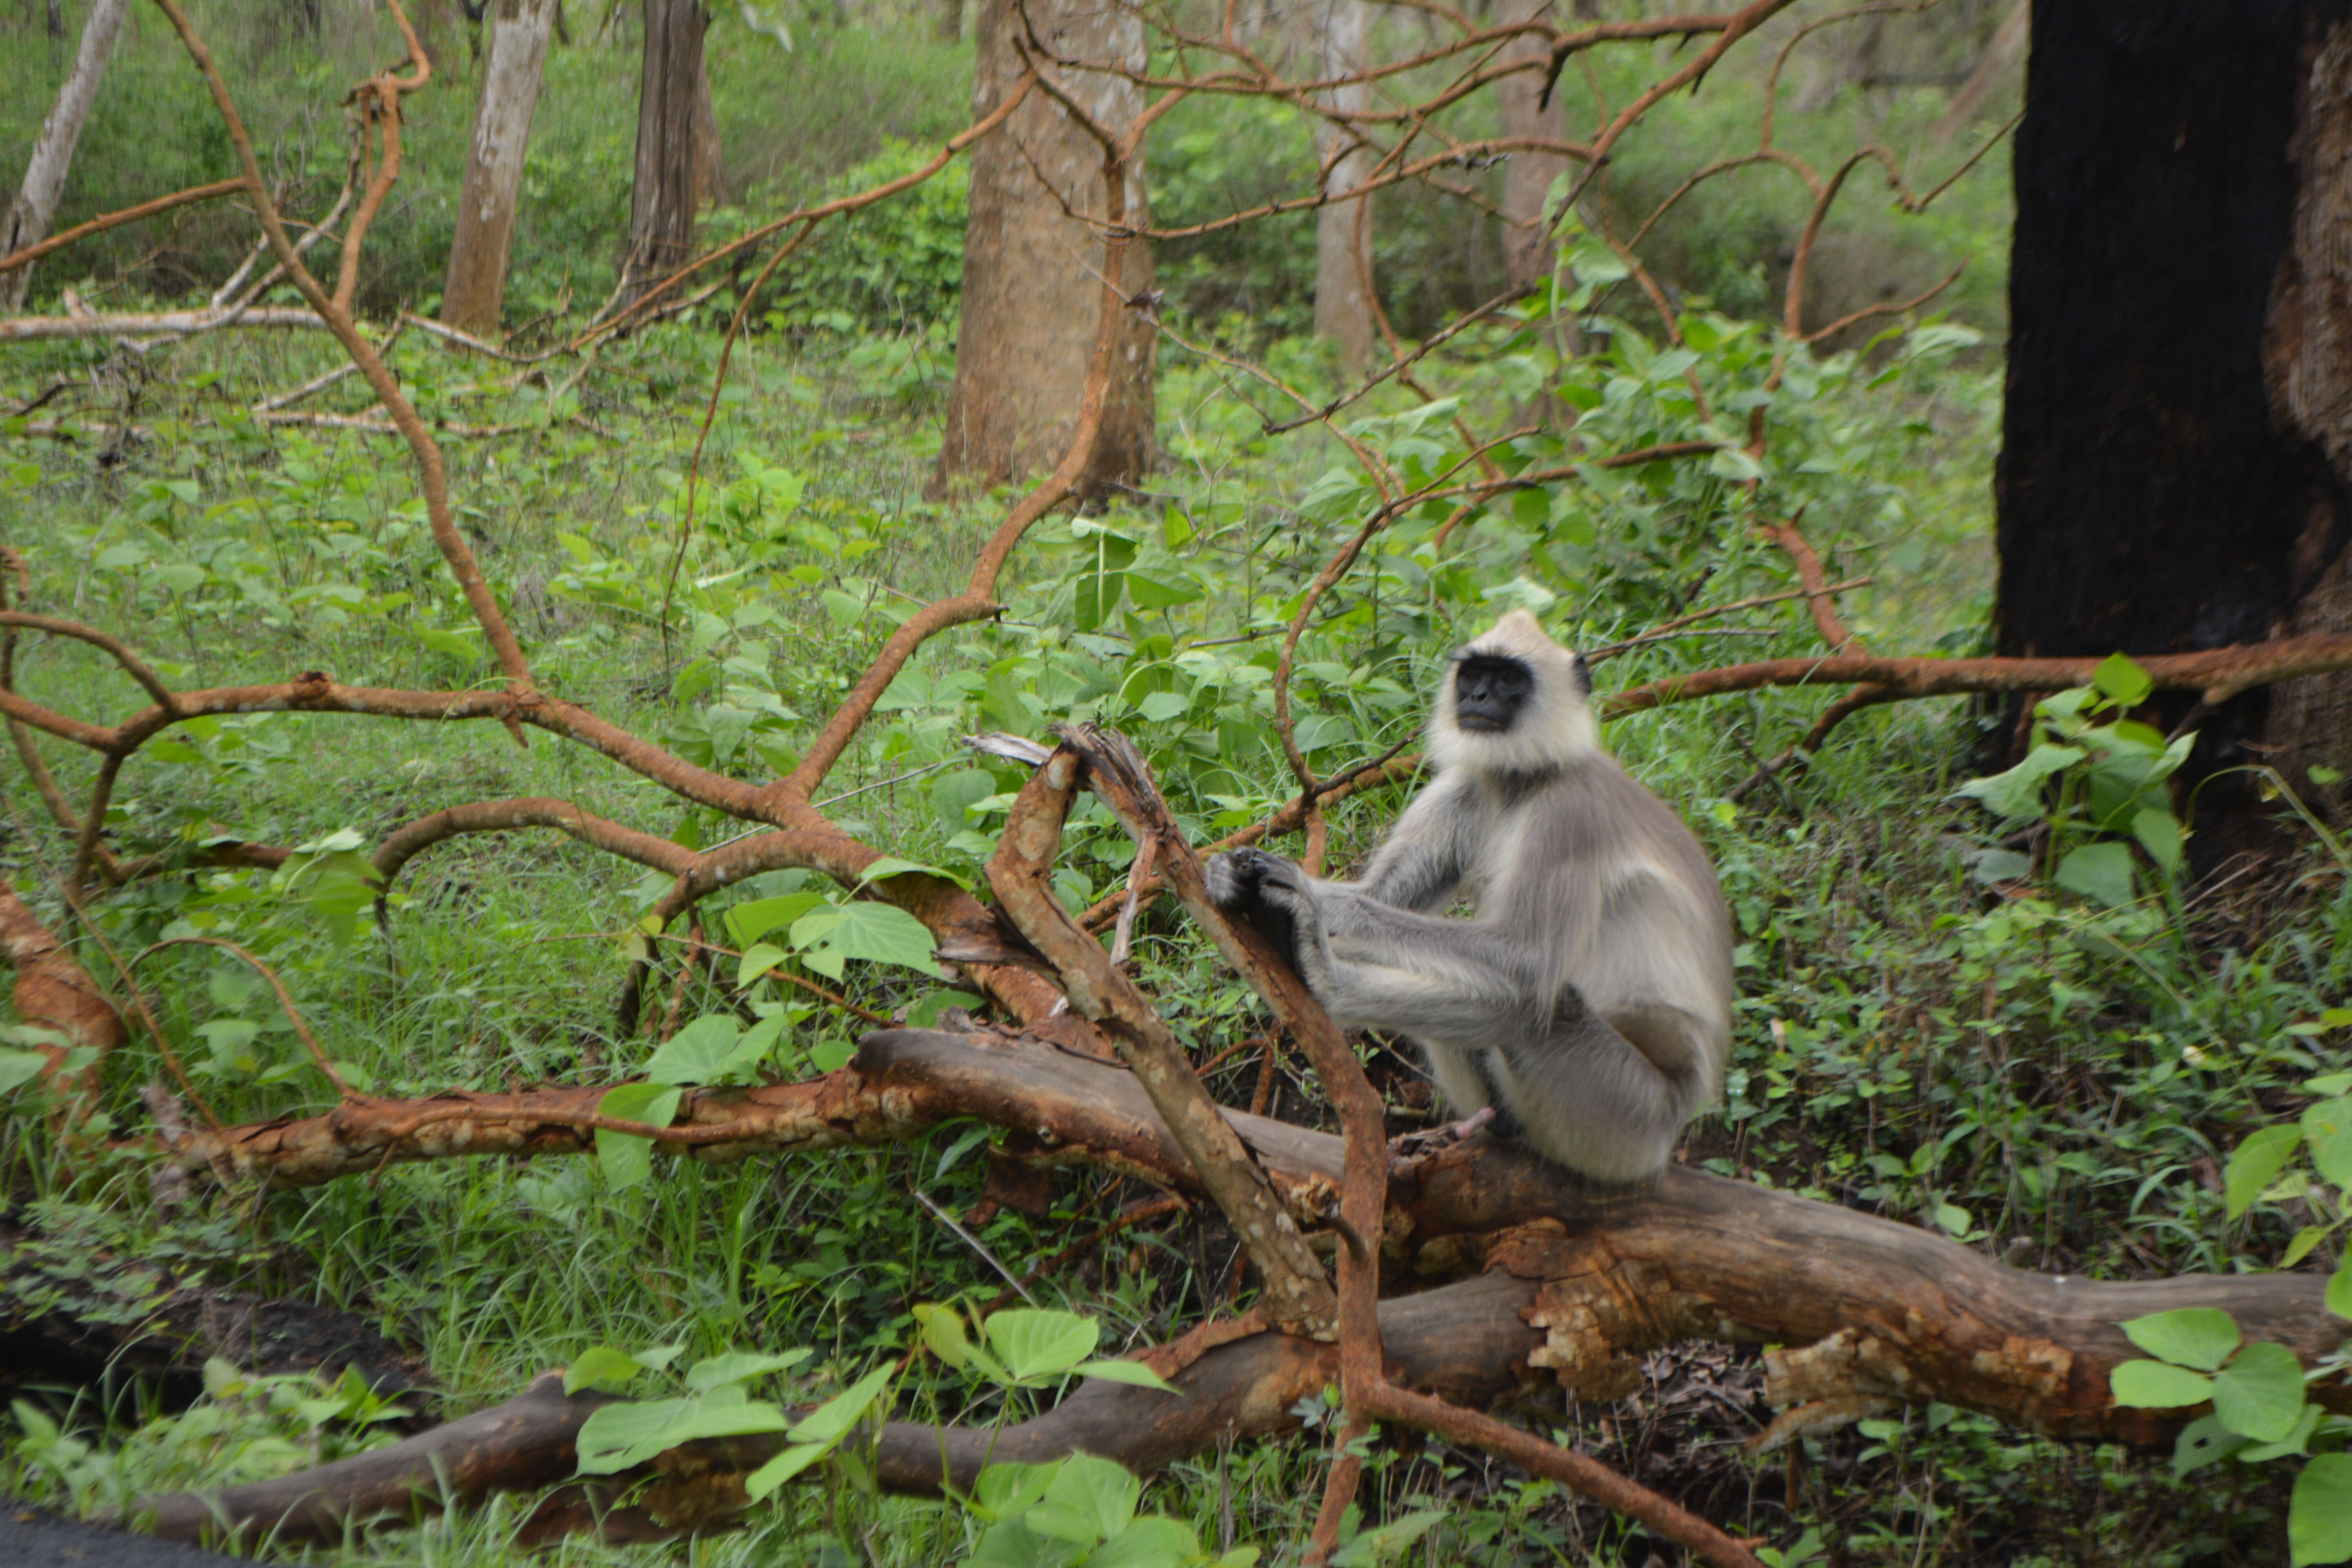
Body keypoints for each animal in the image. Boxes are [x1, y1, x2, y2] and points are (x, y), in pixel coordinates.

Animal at [1214, 606, 1731, 1185]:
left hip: (1632, 1120)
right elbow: (1386, 894)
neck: (1522, 783)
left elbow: (1528, 961)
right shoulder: (1466, 787)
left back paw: (1324, 979)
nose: (1477, 698)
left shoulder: (1569, 817)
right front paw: (1229, 876)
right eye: (1473, 677)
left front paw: (1318, 902)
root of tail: (1675, 1130)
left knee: (1534, 1008)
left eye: (1508, 680)